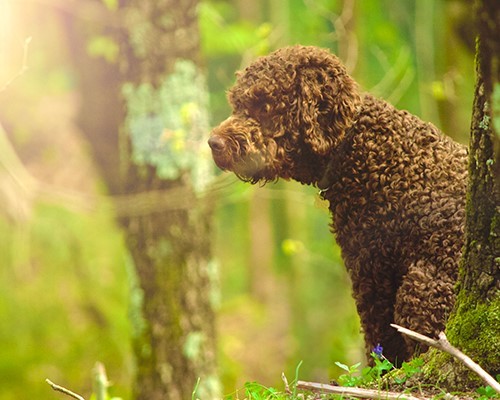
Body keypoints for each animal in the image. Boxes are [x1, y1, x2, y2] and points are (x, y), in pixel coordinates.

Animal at [208, 44, 468, 366]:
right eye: (237, 103)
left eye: (263, 105)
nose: (213, 143)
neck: (356, 144)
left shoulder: (372, 272)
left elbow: (380, 342)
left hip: (421, 288)